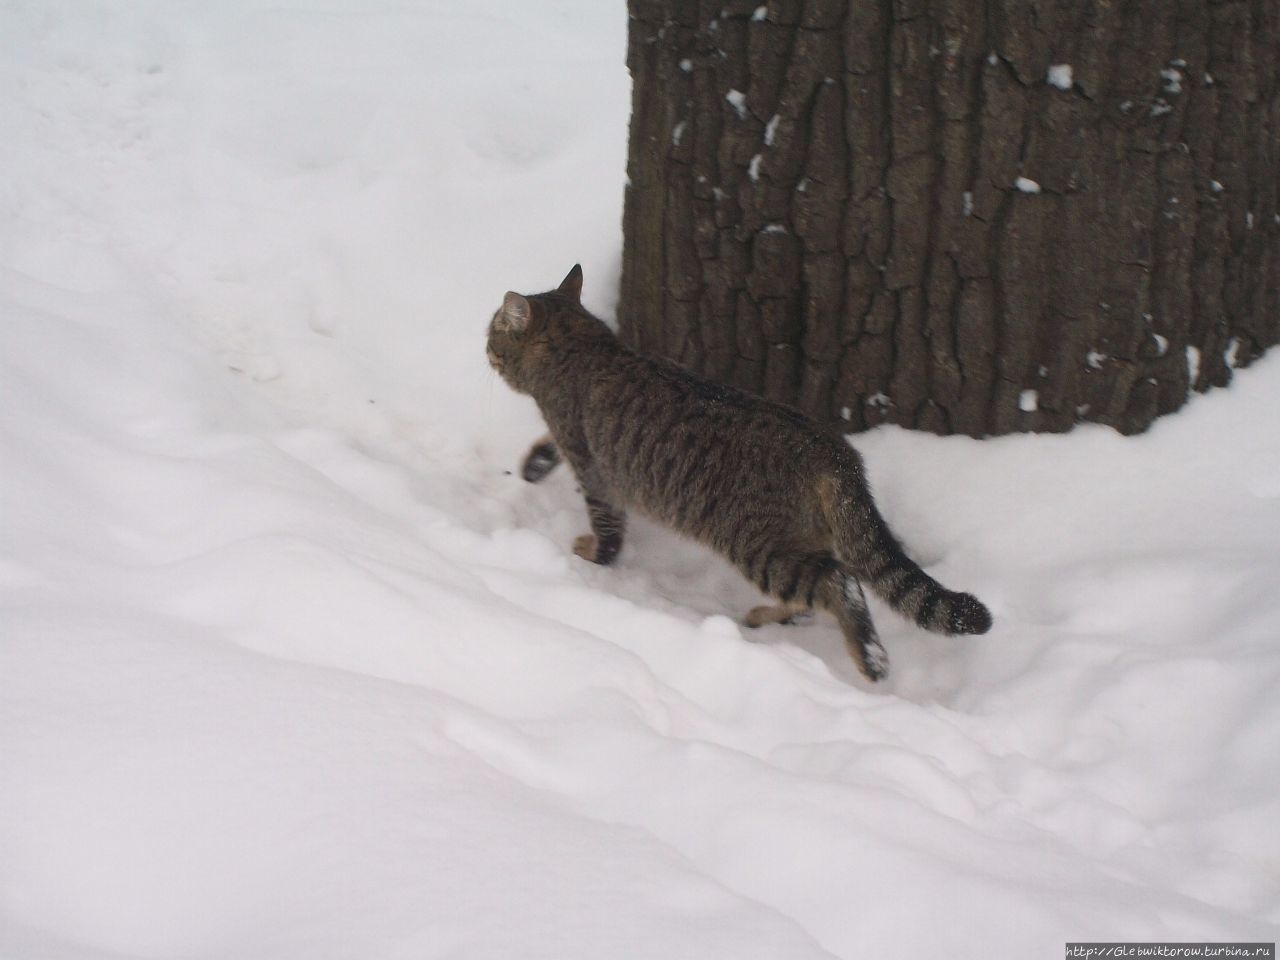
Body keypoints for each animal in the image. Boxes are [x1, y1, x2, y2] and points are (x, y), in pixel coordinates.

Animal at [483, 264, 993, 686]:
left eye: (493, 334)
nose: (484, 347)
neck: (583, 344)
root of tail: (832, 450)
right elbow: (548, 448)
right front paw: (535, 463)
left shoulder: (594, 471)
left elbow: (608, 532)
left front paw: (593, 558)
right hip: (796, 538)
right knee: (817, 592)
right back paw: (773, 616)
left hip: (756, 544)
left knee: (838, 583)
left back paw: (868, 658)